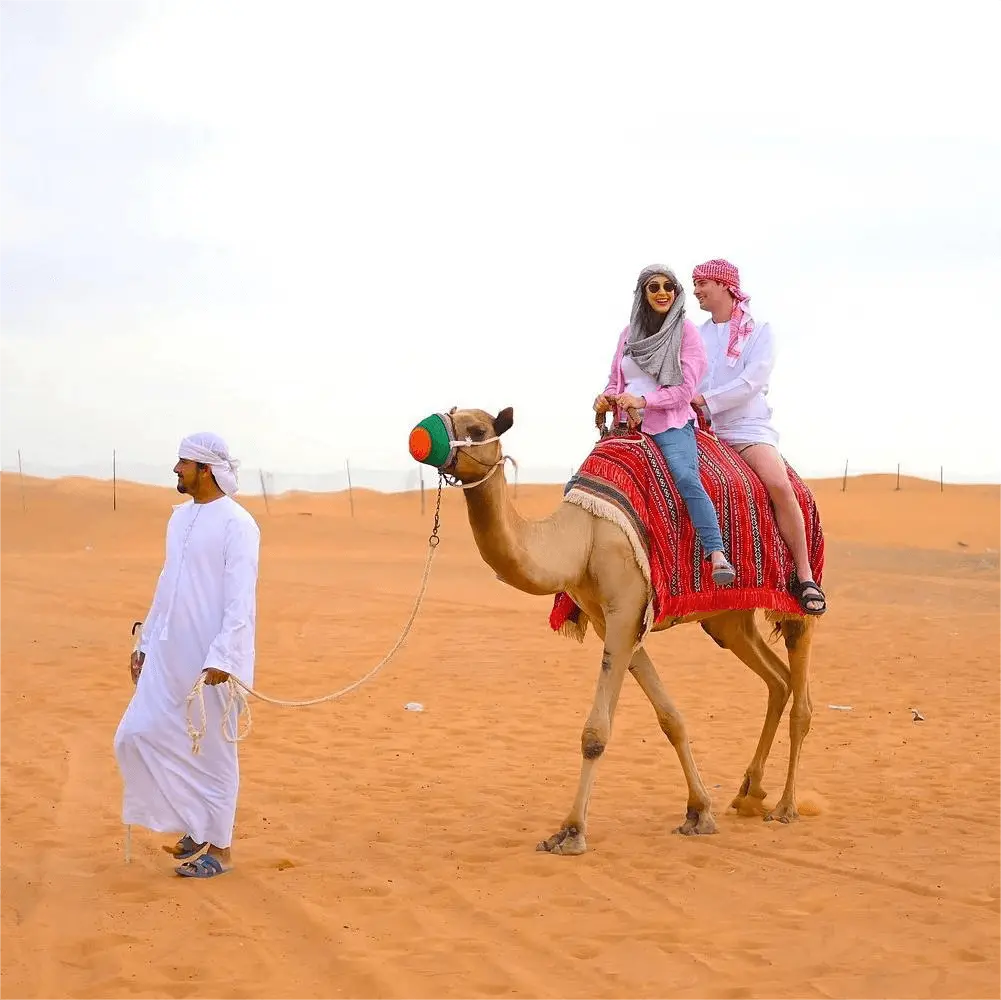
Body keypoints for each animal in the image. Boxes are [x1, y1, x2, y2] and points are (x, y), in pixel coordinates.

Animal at [408, 405, 818, 856]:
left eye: (478, 429)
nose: (420, 436)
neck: (582, 536)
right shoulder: (614, 619)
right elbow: (670, 717)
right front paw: (699, 813)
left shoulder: (625, 608)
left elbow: (595, 733)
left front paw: (570, 832)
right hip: (728, 620)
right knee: (778, 680)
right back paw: (749, 794)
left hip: (796, 596)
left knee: (801, 695)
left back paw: (785, 806)